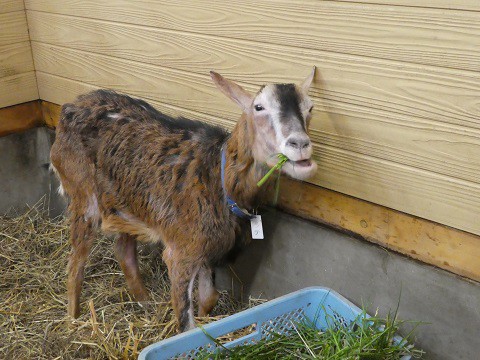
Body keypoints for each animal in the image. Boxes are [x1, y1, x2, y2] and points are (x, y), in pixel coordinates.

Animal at [49, 69, 318, 332]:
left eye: (310, 108)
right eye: (259, 107)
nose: (300, 144)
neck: (219, 177)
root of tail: (68, 108)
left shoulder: (206, 245)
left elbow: (209, 297)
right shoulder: (181, 249)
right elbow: (185, 320)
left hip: (126, 202)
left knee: (123, 250)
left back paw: (145, 302)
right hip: (83, 194)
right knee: (75, 263)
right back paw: (73, 320)